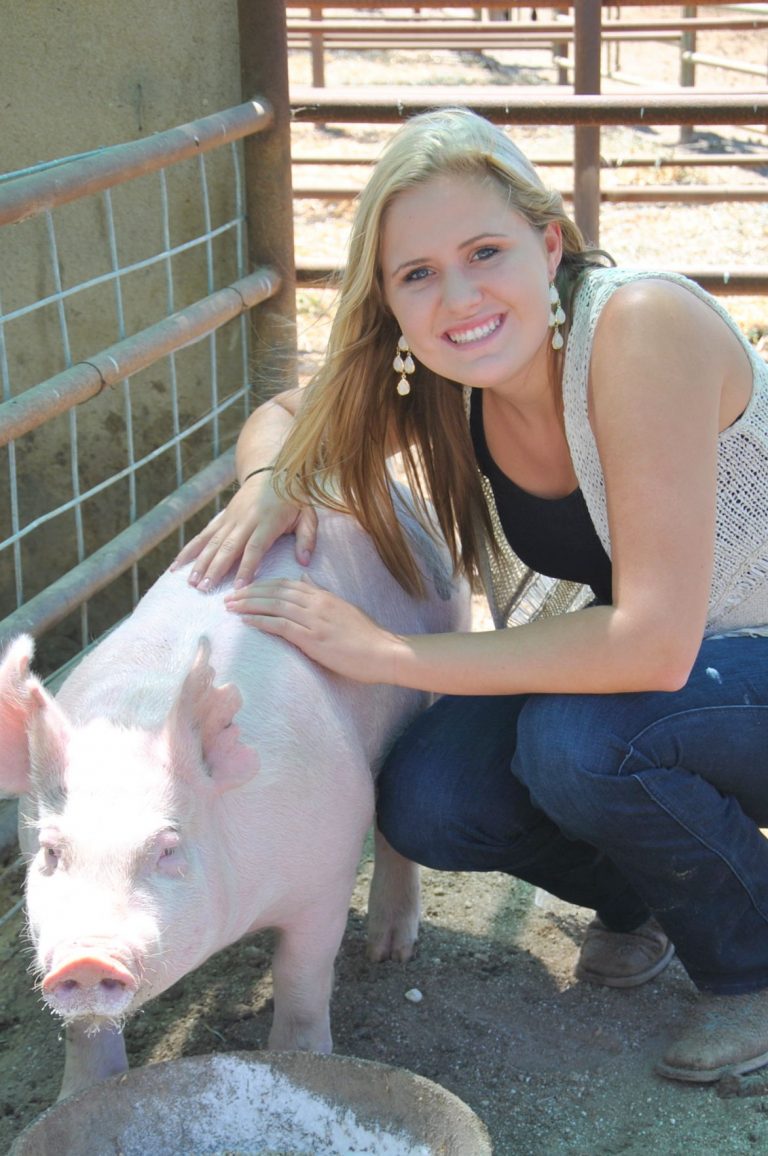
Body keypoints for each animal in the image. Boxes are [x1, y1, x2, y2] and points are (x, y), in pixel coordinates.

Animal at [0, 497, 470, 1101]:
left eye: (168, 847)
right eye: (52, 852)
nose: (85, 956)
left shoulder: (327, 867)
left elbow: (301, 974)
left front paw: (304, 1058)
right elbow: (86, 1032)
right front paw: (78, 1099)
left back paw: (389, 952)